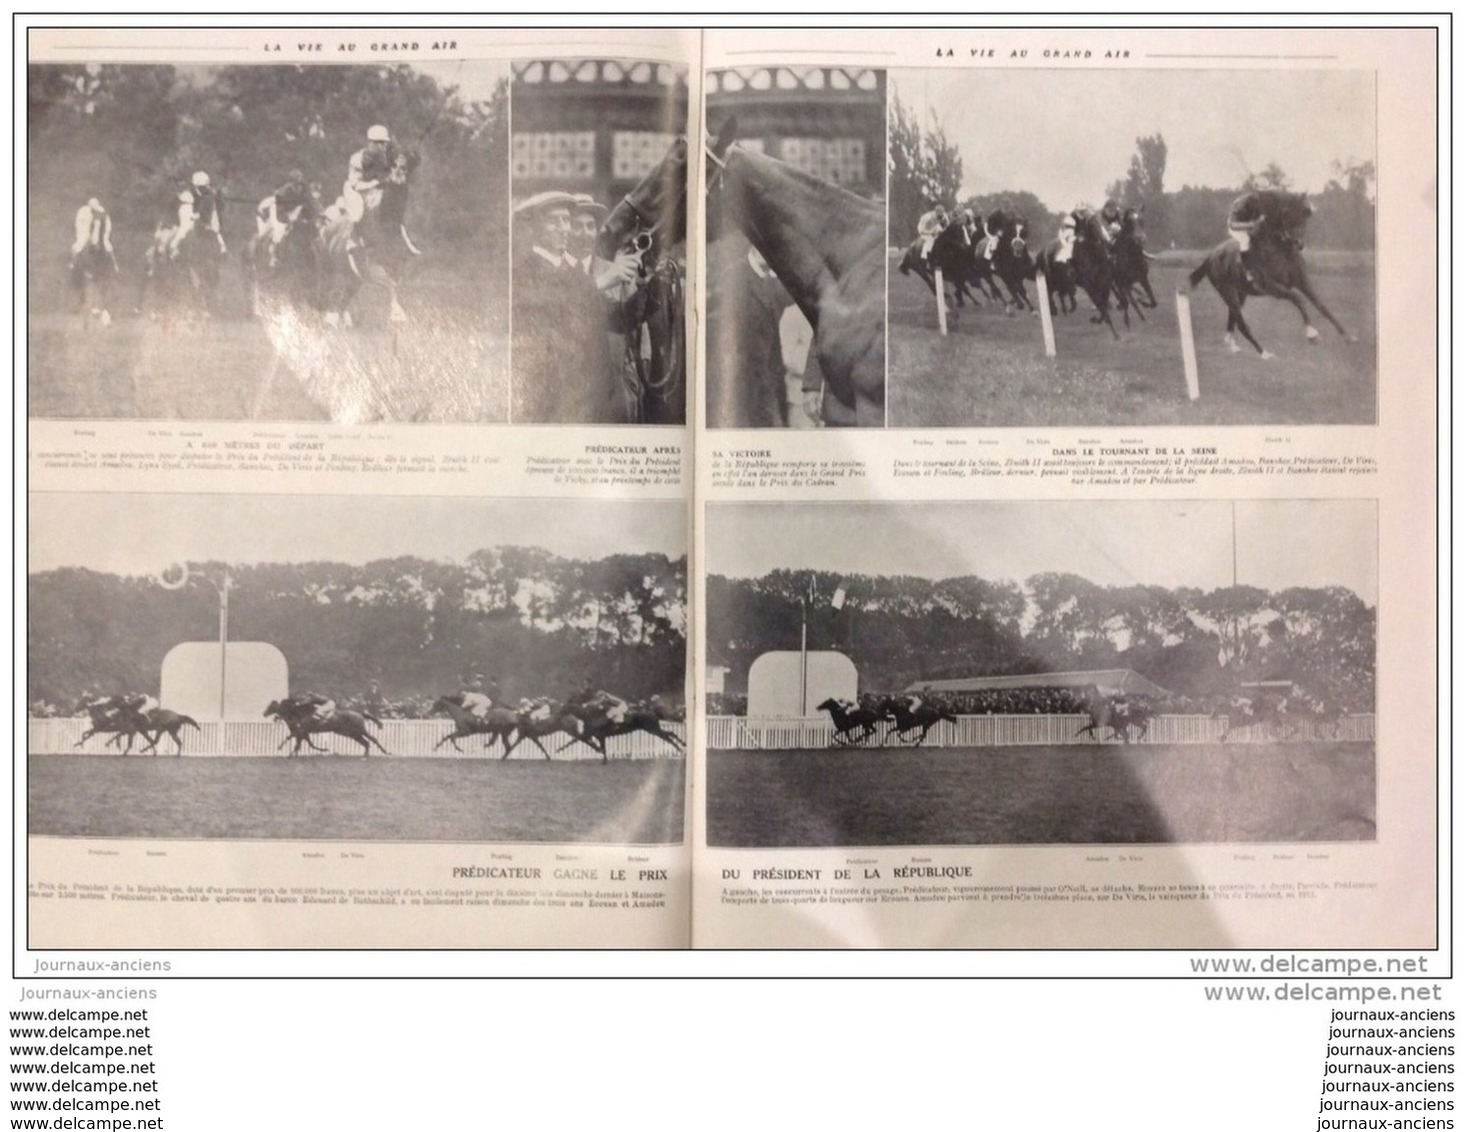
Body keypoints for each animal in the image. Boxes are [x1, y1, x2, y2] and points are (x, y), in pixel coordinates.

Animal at [1189, 191, 1347, 355]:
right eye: (1285, 213)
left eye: (1305, 215)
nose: (1299, 244)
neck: (1281, 250)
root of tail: (1211, 255)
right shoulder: (1273, 288)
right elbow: (1297, 298)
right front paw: (1311, 334)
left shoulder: (1303, 282)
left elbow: (1321, 305)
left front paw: (1348, 336)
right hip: (1227, 292)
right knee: (1241, 324)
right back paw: (1264, 354)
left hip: (1241, 293)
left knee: (1233, 317)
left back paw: (1232, 345)